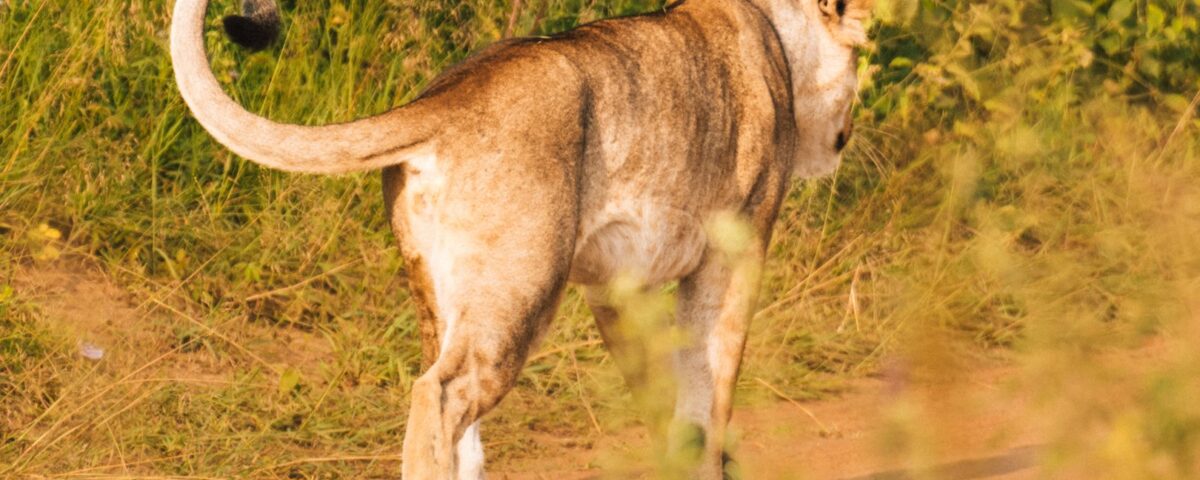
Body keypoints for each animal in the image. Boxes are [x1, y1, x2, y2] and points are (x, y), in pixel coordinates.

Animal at [169, 0, 871, 477]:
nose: (846, 136)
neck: (774, 29)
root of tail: (449, 96)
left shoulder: (617, 285)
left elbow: (661, 393)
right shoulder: (736, 250)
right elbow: (710, 390)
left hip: (443, 297)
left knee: (460, 429)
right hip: (519, 290)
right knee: (439, 397)